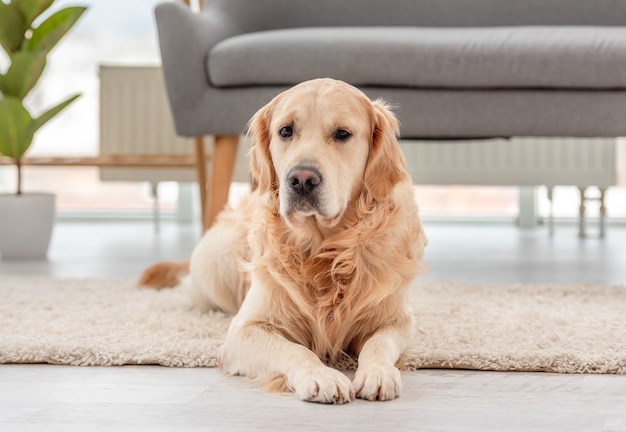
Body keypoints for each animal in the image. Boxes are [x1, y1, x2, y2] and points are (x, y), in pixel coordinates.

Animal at [139, 78, 426, 404]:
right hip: (220, 261)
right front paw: (321, 376)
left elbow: (379, 343)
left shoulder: (397, 319)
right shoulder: (244, 331)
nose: (302, 180)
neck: (323, 250)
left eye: (342, 134)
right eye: (286, 131)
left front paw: (378, 373)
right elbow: (295, 350)